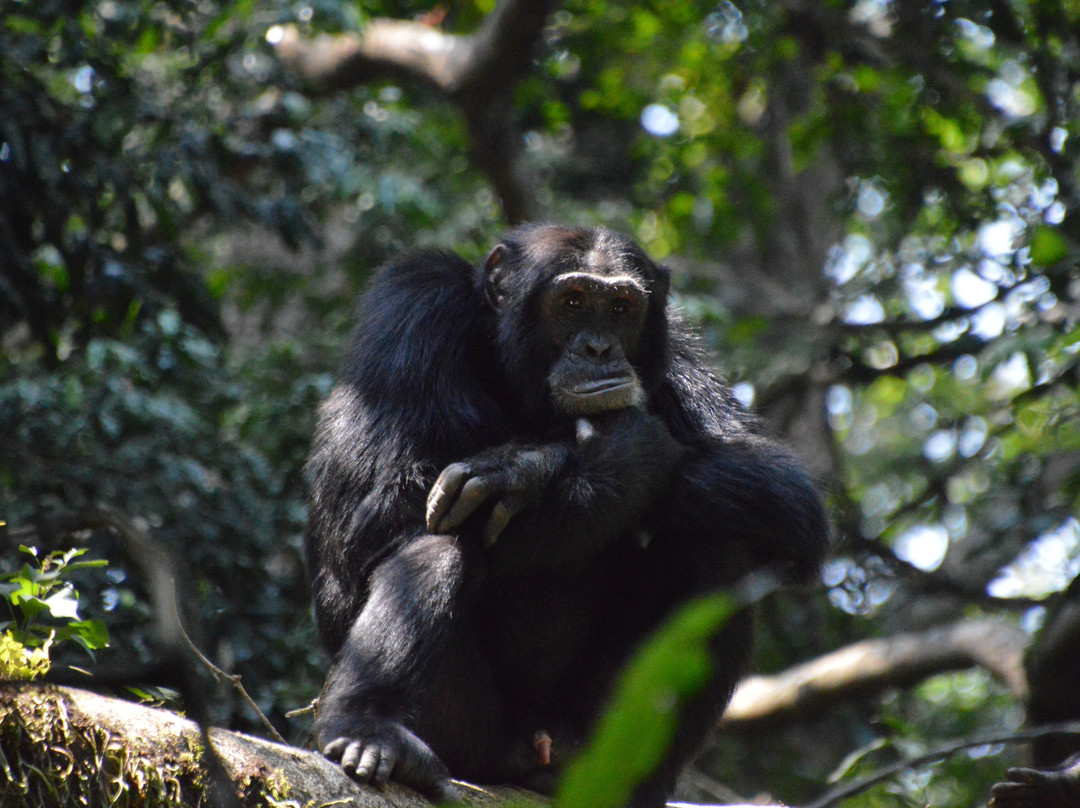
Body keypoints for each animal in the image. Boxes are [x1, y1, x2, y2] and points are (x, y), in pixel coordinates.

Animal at [304, 223, 825, 803]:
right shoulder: (412, 304)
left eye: (621, 308)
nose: (598, 347)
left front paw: (528, 468)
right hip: (469, 736)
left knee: (720, 551)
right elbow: (373, 512)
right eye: (573, 301)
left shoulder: (679, 351)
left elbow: (780, 486)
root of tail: (536, 748)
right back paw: (366, 730)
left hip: (597, 736)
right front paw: (571, 460)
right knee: (436, 544)